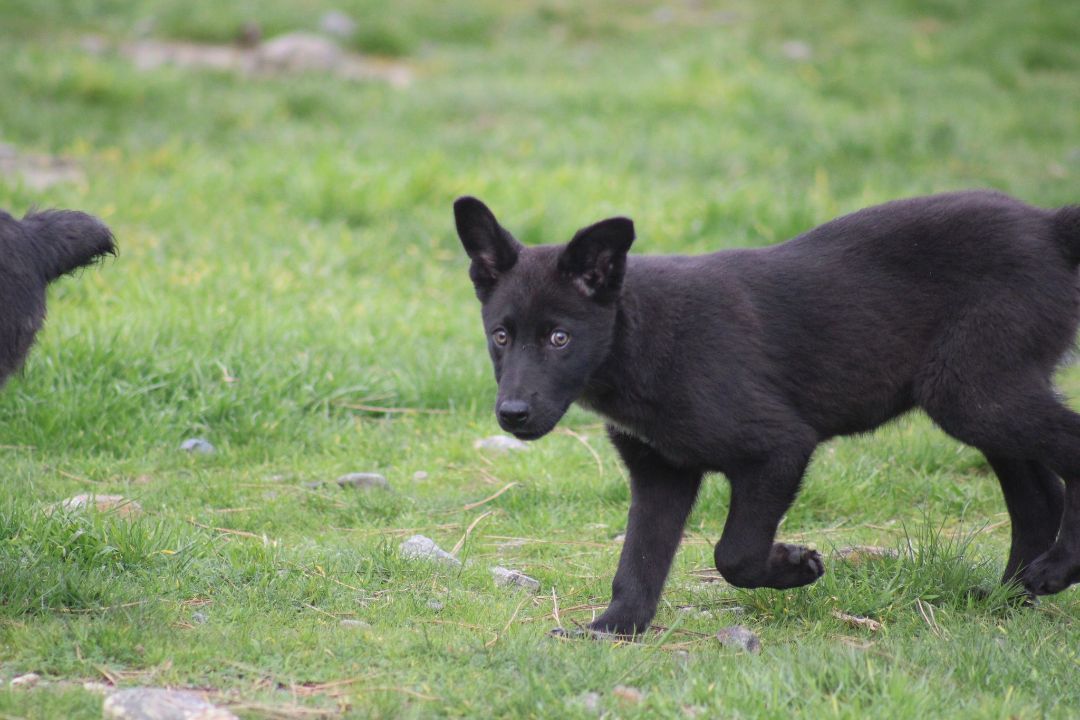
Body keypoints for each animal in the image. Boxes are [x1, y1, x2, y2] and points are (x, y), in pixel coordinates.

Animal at [455, 190, 1080, 636]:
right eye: (501, 336)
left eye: (559, 338)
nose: (512, 414)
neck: (640, 337)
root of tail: (1052, 227)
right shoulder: (660, 472)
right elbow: (638, 561)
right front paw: (613, 629)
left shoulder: (778, 447)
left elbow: (733, 553)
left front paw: (796, 566)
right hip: (986, 393)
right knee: (1037, 499)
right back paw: (1009, 597)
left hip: (972, 392)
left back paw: (1057, 570)